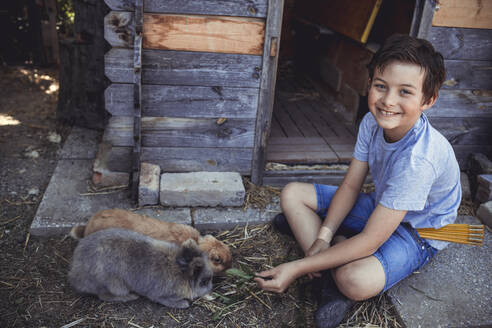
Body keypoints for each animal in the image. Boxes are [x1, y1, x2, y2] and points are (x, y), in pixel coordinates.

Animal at [67, 228, 211, 308]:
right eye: (204, 282)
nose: (210, 288)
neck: (179, 270)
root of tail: (74, 274)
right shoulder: (160, 295)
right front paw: (184, 304)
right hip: (113, 285)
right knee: (105, 296)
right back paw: (131, 297)